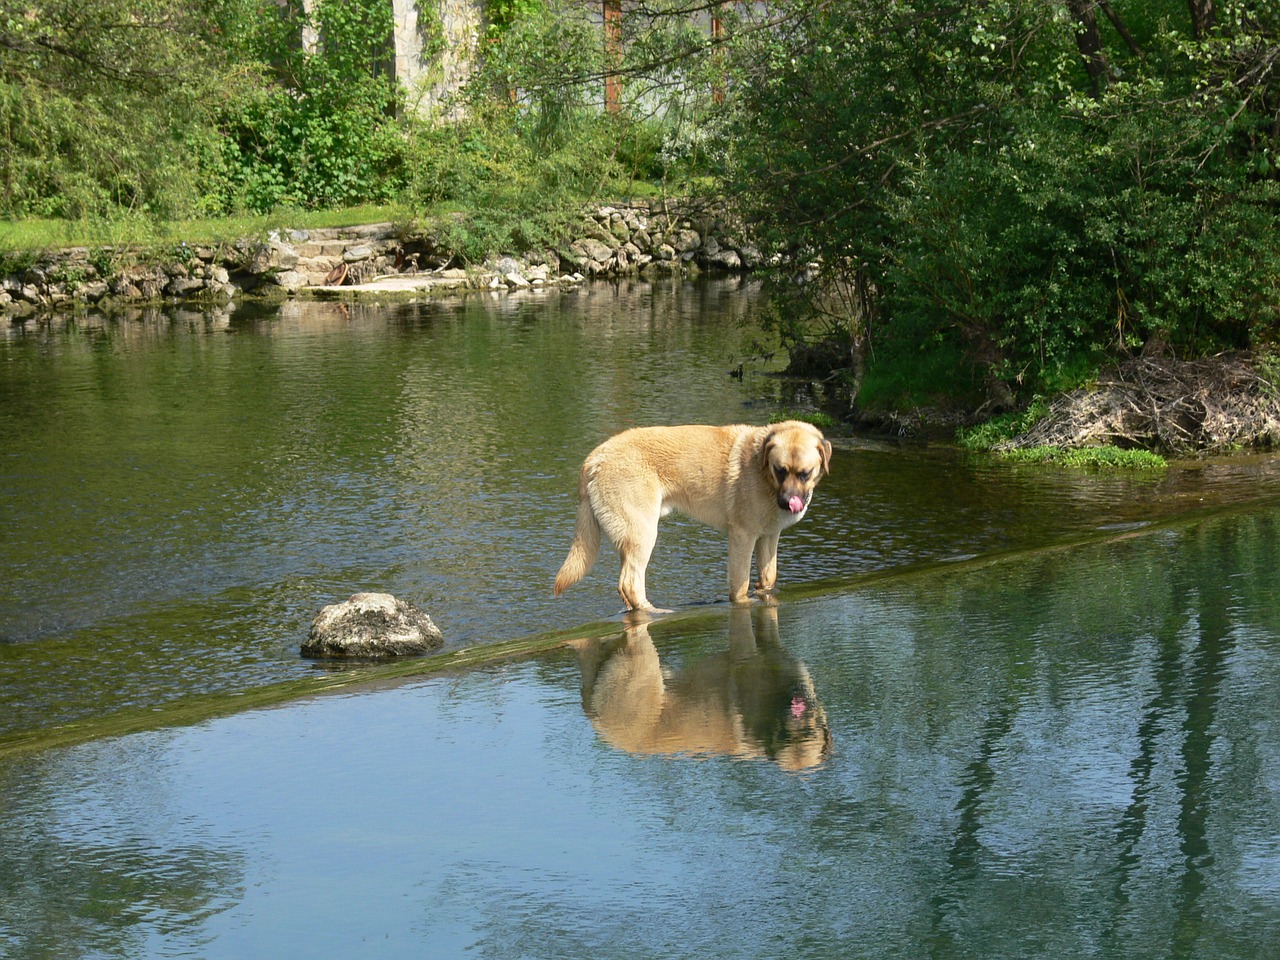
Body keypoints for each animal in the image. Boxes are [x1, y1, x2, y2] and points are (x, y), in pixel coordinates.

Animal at [550, 422, 829, 616]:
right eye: (780, 470)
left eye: (805, 474)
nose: (788, 503)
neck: (761, 472)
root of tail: (594, 457)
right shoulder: (742, 536)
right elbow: (740, 585)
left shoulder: (769, 536)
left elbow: (768, 578)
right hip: (643, 533)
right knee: (630, 583)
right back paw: (655, 612)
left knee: (626, 587)